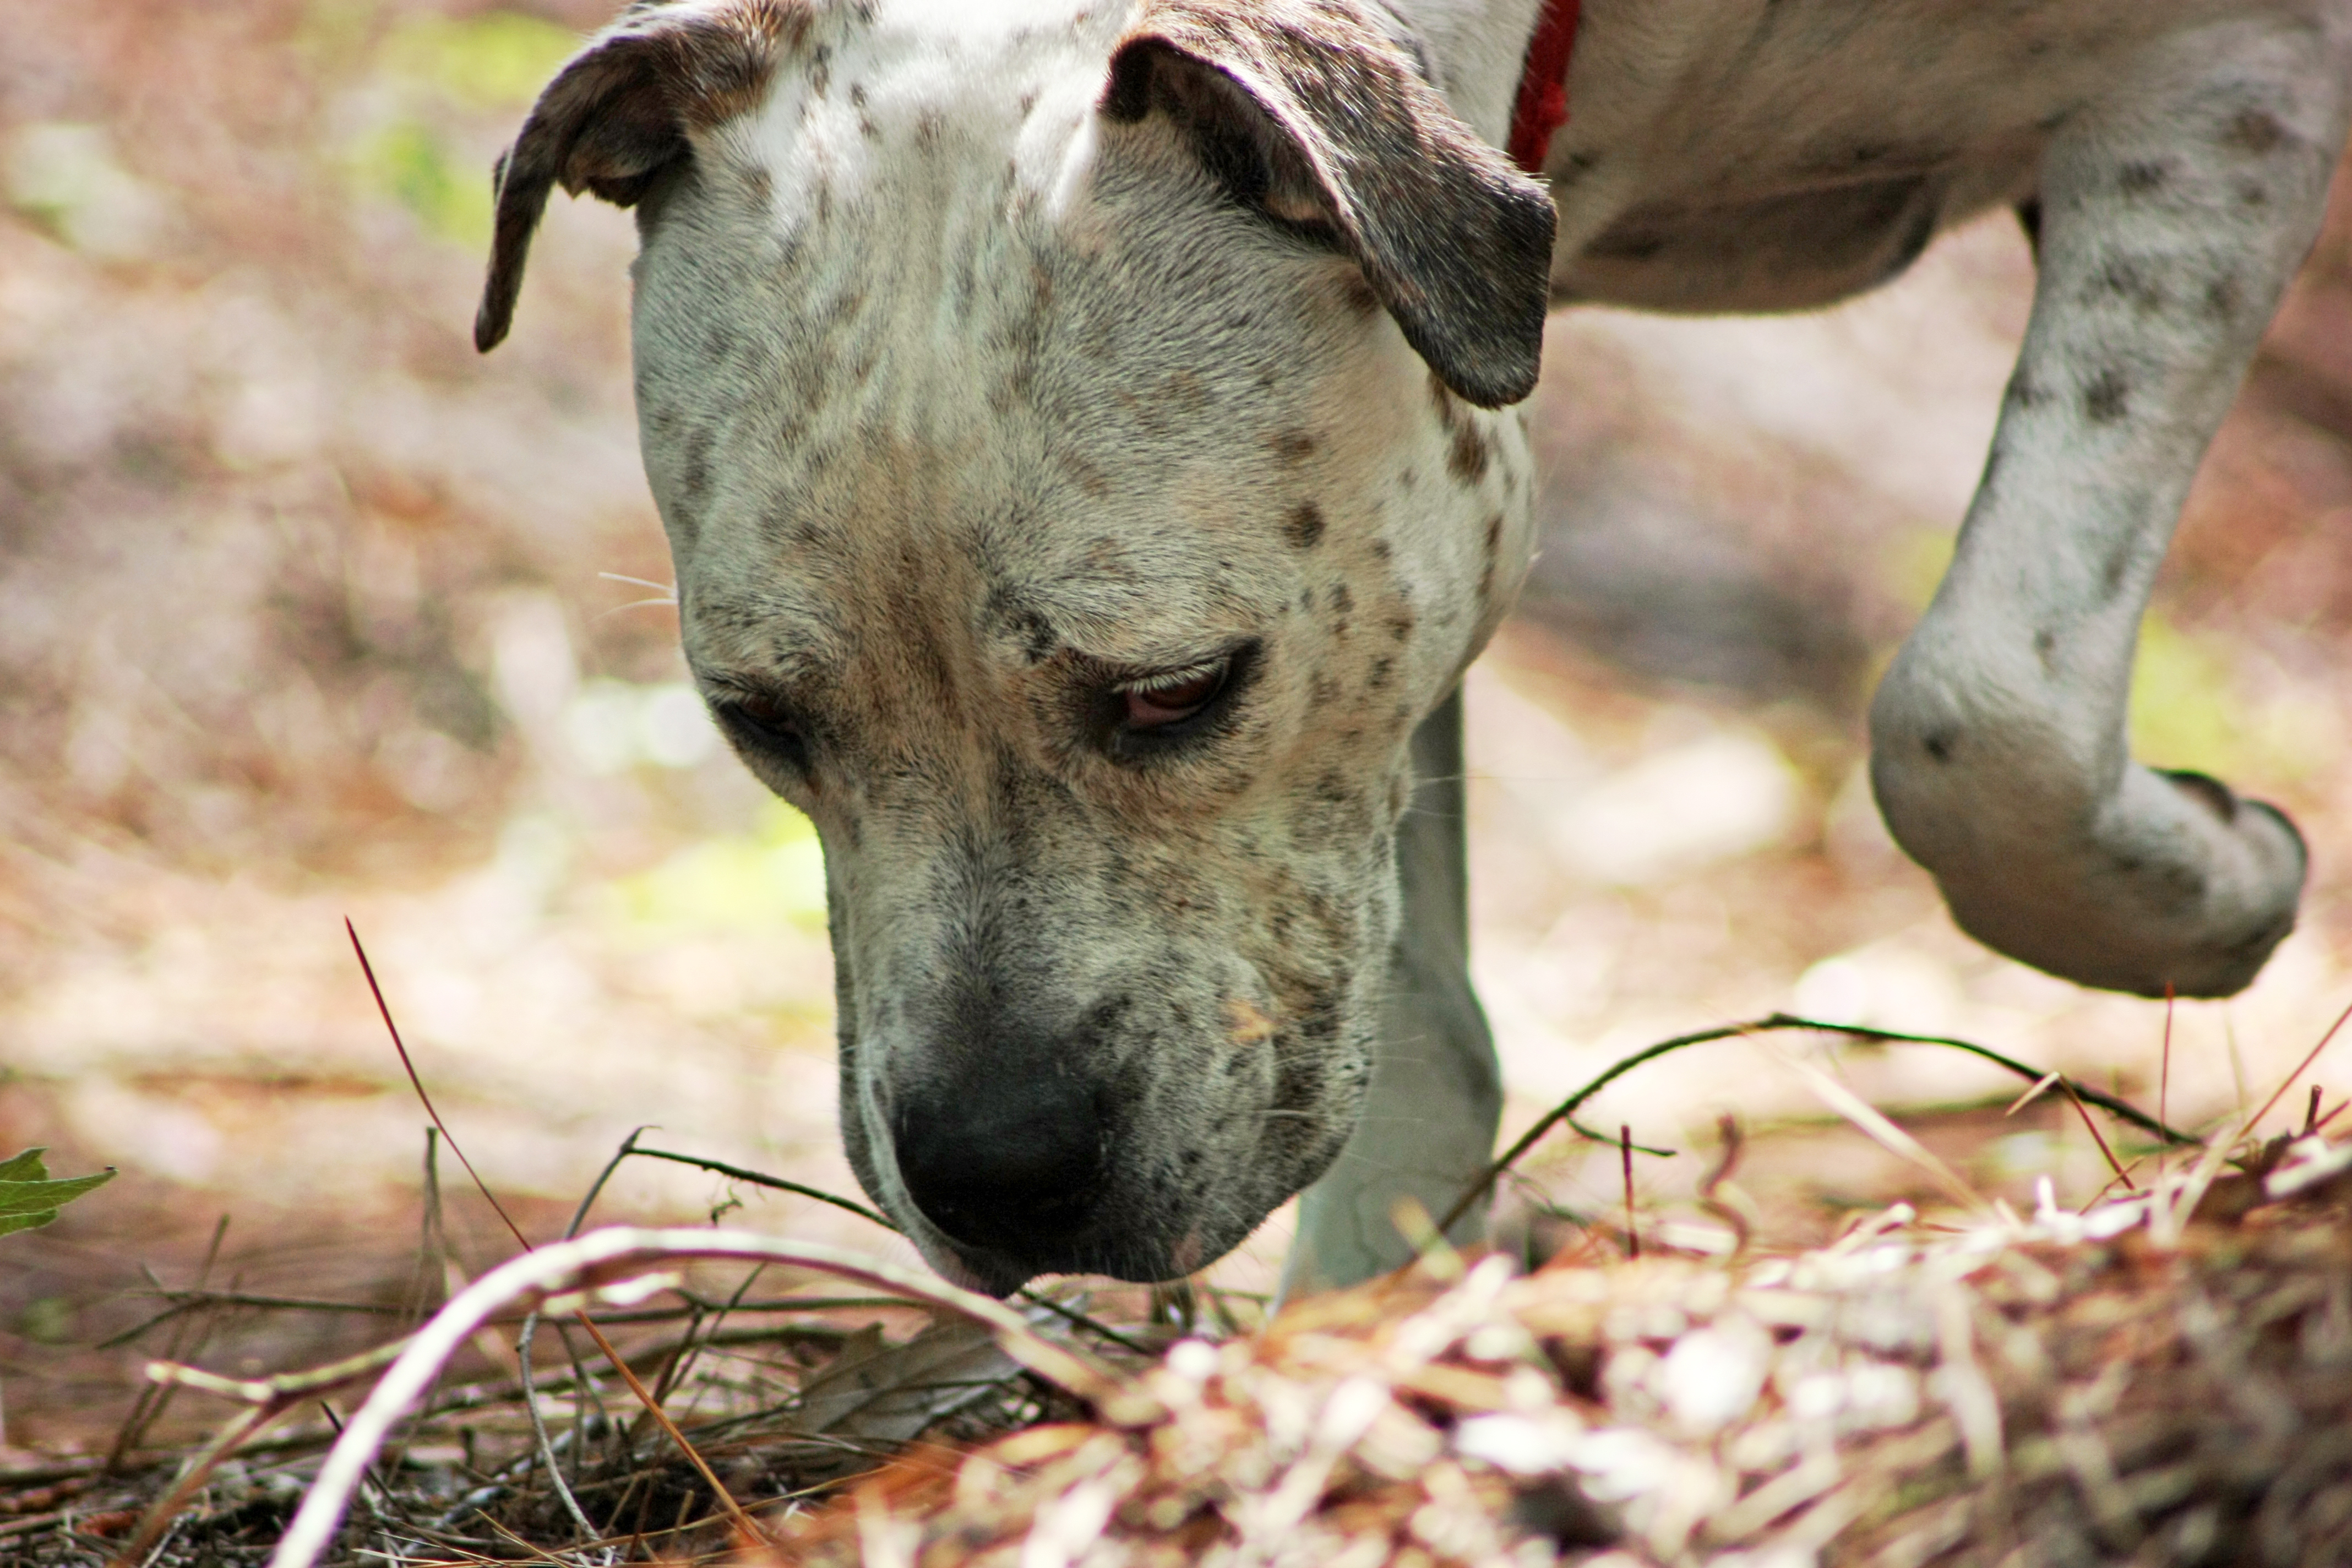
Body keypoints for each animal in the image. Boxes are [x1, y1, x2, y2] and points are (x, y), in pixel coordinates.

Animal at [482, 0, 2352, 1297]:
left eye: (1178, 692)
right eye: (760, 721)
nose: (996, 1173)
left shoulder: (2224, 84)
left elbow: (1984, 715)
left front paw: (2216, 887)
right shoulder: (1423, 540)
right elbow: (1420, 1010)